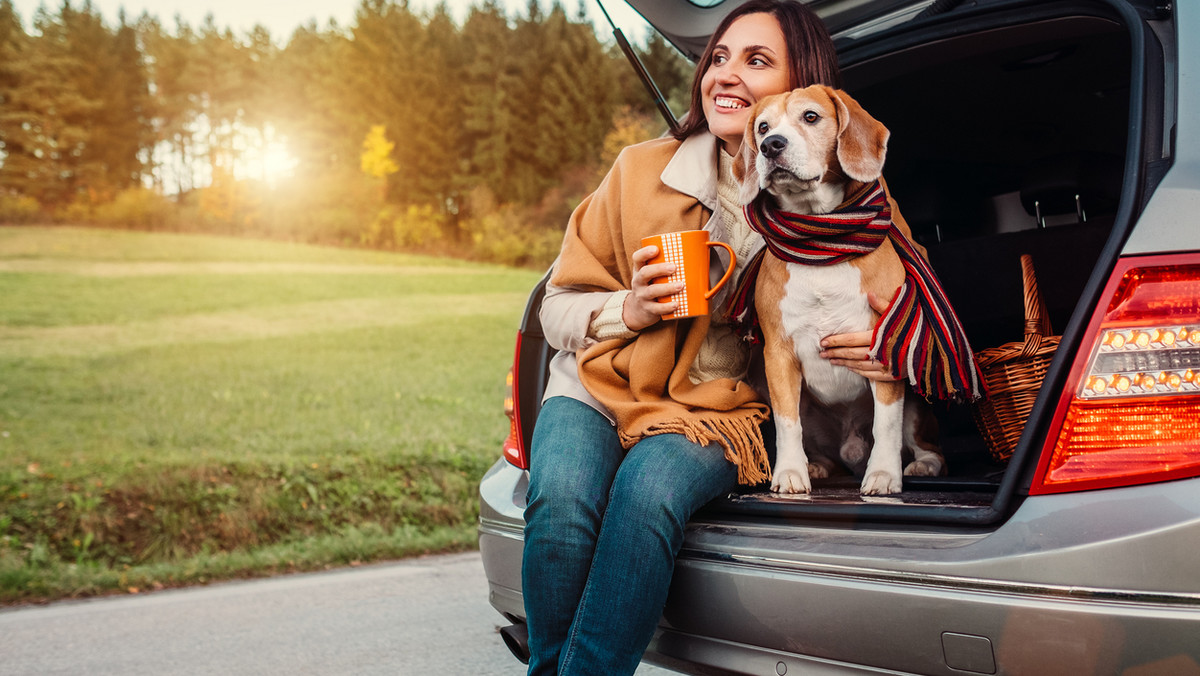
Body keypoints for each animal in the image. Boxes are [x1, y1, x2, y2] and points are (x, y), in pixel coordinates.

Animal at [729, 85, 945, 497]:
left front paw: (884, 474)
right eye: (762, 126)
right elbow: (787, 424)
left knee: (923, 443)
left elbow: (886, 424)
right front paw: (790, 472)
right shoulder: (778, 356)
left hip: (916, 405)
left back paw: (924, 464)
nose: (770, 145)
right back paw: (816, 466)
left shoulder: (882, 348)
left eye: (811, 117)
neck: (820, 241)